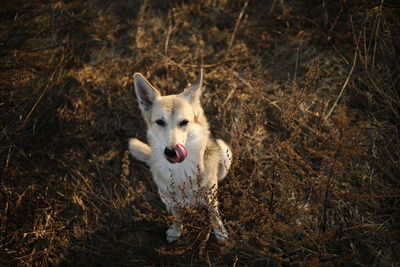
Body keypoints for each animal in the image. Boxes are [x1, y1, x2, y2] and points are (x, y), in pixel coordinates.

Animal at [129, 70, 231, 243]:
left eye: (184, 122)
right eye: (159, 122)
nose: (171, 151)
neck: (182, 169)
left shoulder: (210, 196)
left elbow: (214, 215)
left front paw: (220, 232)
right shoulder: (173, 200)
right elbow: (177, 217)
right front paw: (175, 232)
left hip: (224, 152)